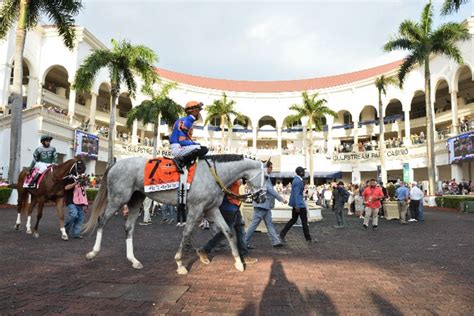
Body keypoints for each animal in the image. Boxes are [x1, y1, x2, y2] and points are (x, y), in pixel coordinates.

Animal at [83, 155, 264, 274]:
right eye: (266, 176)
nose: (262, 197)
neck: (213, 175)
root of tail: (115, 164)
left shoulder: (211, 209)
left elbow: (228, 232)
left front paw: (239, 263)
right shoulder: (196, 208)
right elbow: (186, 233)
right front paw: (180, 264)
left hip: (136, 199)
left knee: (128, 227)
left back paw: (134, 260)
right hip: (118, 199)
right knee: (101, 220)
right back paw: (92, 253)